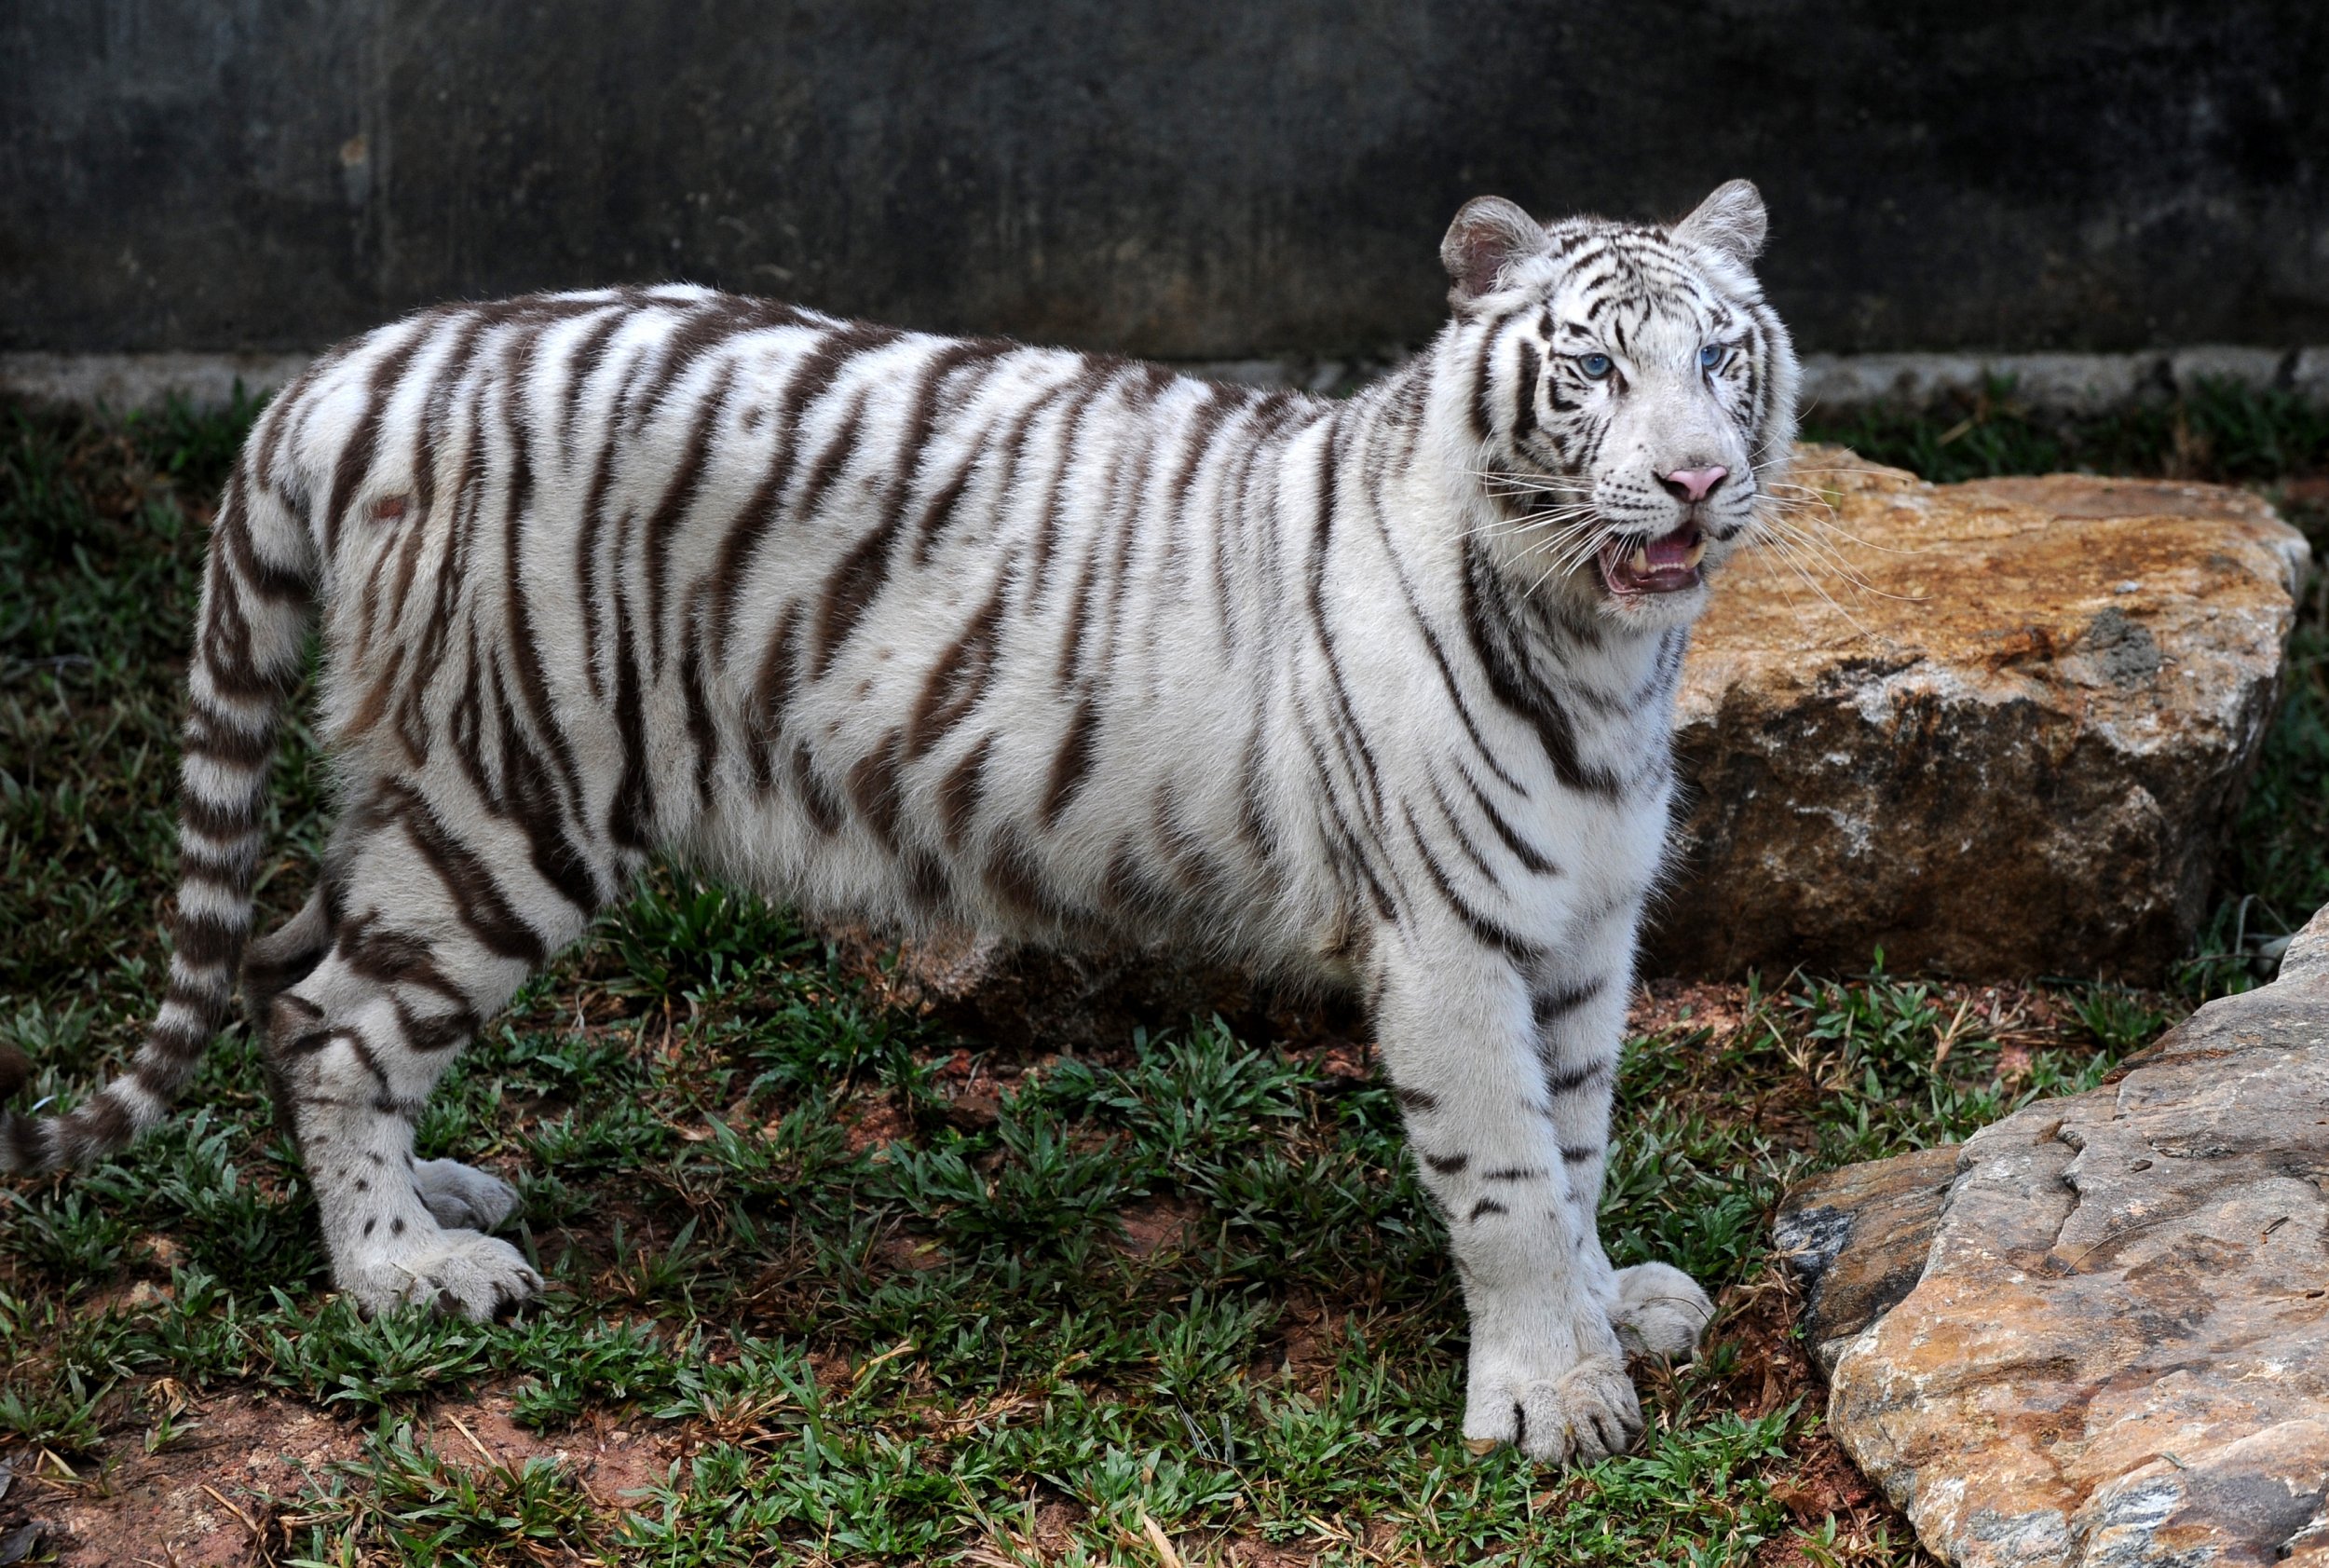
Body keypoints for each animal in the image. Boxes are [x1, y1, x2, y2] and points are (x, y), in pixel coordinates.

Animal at [0, 180, 1798, 1453]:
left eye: (1722, 356)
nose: (1698, 478)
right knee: (328, 1019)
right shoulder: (1447, 937)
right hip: (509, 798)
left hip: (414, 780)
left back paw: (436, 1197)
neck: (1603, 653)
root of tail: (362, 361)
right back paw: (400, 1272)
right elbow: (1506, 1173)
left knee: (289, 964)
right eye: (1593, 367)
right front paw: (1551, 1399)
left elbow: (1578, 1141)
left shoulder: (1583, 925)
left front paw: (1611, 1309)